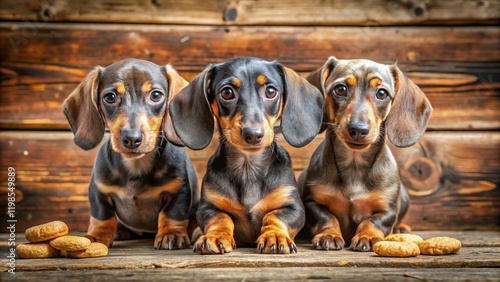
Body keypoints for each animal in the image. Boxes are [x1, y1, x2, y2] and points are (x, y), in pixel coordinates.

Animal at [60, 57, 197, 249]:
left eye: (156, 95)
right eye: (110, 97)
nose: (132, 138)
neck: (136, 165)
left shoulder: (178, 190)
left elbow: (172, 214)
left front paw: (171, 234)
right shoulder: (98, 191)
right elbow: (102, 216)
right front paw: (97, 235)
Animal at [168, 56, 324, 254]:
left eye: (271, 91)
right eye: (227, 93)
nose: (253, 134)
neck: (248, 167)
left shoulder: (293, 207)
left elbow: (274, 216)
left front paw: (275, 236)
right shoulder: (207, 207)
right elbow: (220, 217)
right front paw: (215, 236)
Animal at [298, 56, 432, 251]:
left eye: (382, 93)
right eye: (340, 89)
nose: (358, 129)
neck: (354, 164)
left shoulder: (387, 209)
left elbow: (374, 221)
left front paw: (367, 236)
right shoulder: (311, 203)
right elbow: (326, 217)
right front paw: (329, 235)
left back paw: (402, 228)